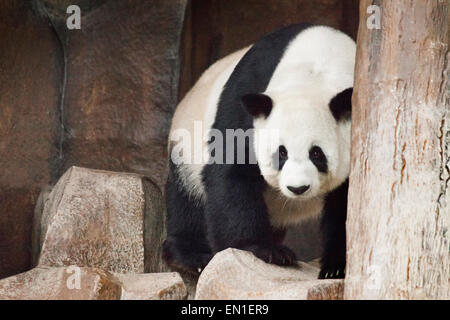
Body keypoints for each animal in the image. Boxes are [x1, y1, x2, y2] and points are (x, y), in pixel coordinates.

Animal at [163, 23, 356, 278]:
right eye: (281, 153)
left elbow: (345, 202)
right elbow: (230, 170)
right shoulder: (250, 92)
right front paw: (264, 250)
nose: (298, 188)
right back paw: (192, 256)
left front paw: (335, 267)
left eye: (317, 154)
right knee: (187, 200)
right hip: (186, 145)